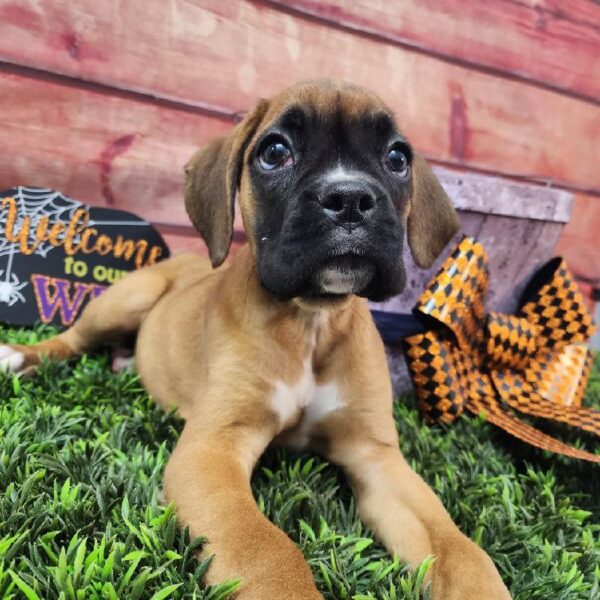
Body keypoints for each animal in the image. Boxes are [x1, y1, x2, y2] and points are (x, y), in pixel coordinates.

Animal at [0, 81, 510, 600]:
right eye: (275, 151)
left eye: (397, 158)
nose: (349, 197)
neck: (310, 321)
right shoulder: (211, 451)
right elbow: (268, 550)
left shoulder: (378, 458)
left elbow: (460, 548)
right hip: (126, 298)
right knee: (70, 339)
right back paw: (20, 355)